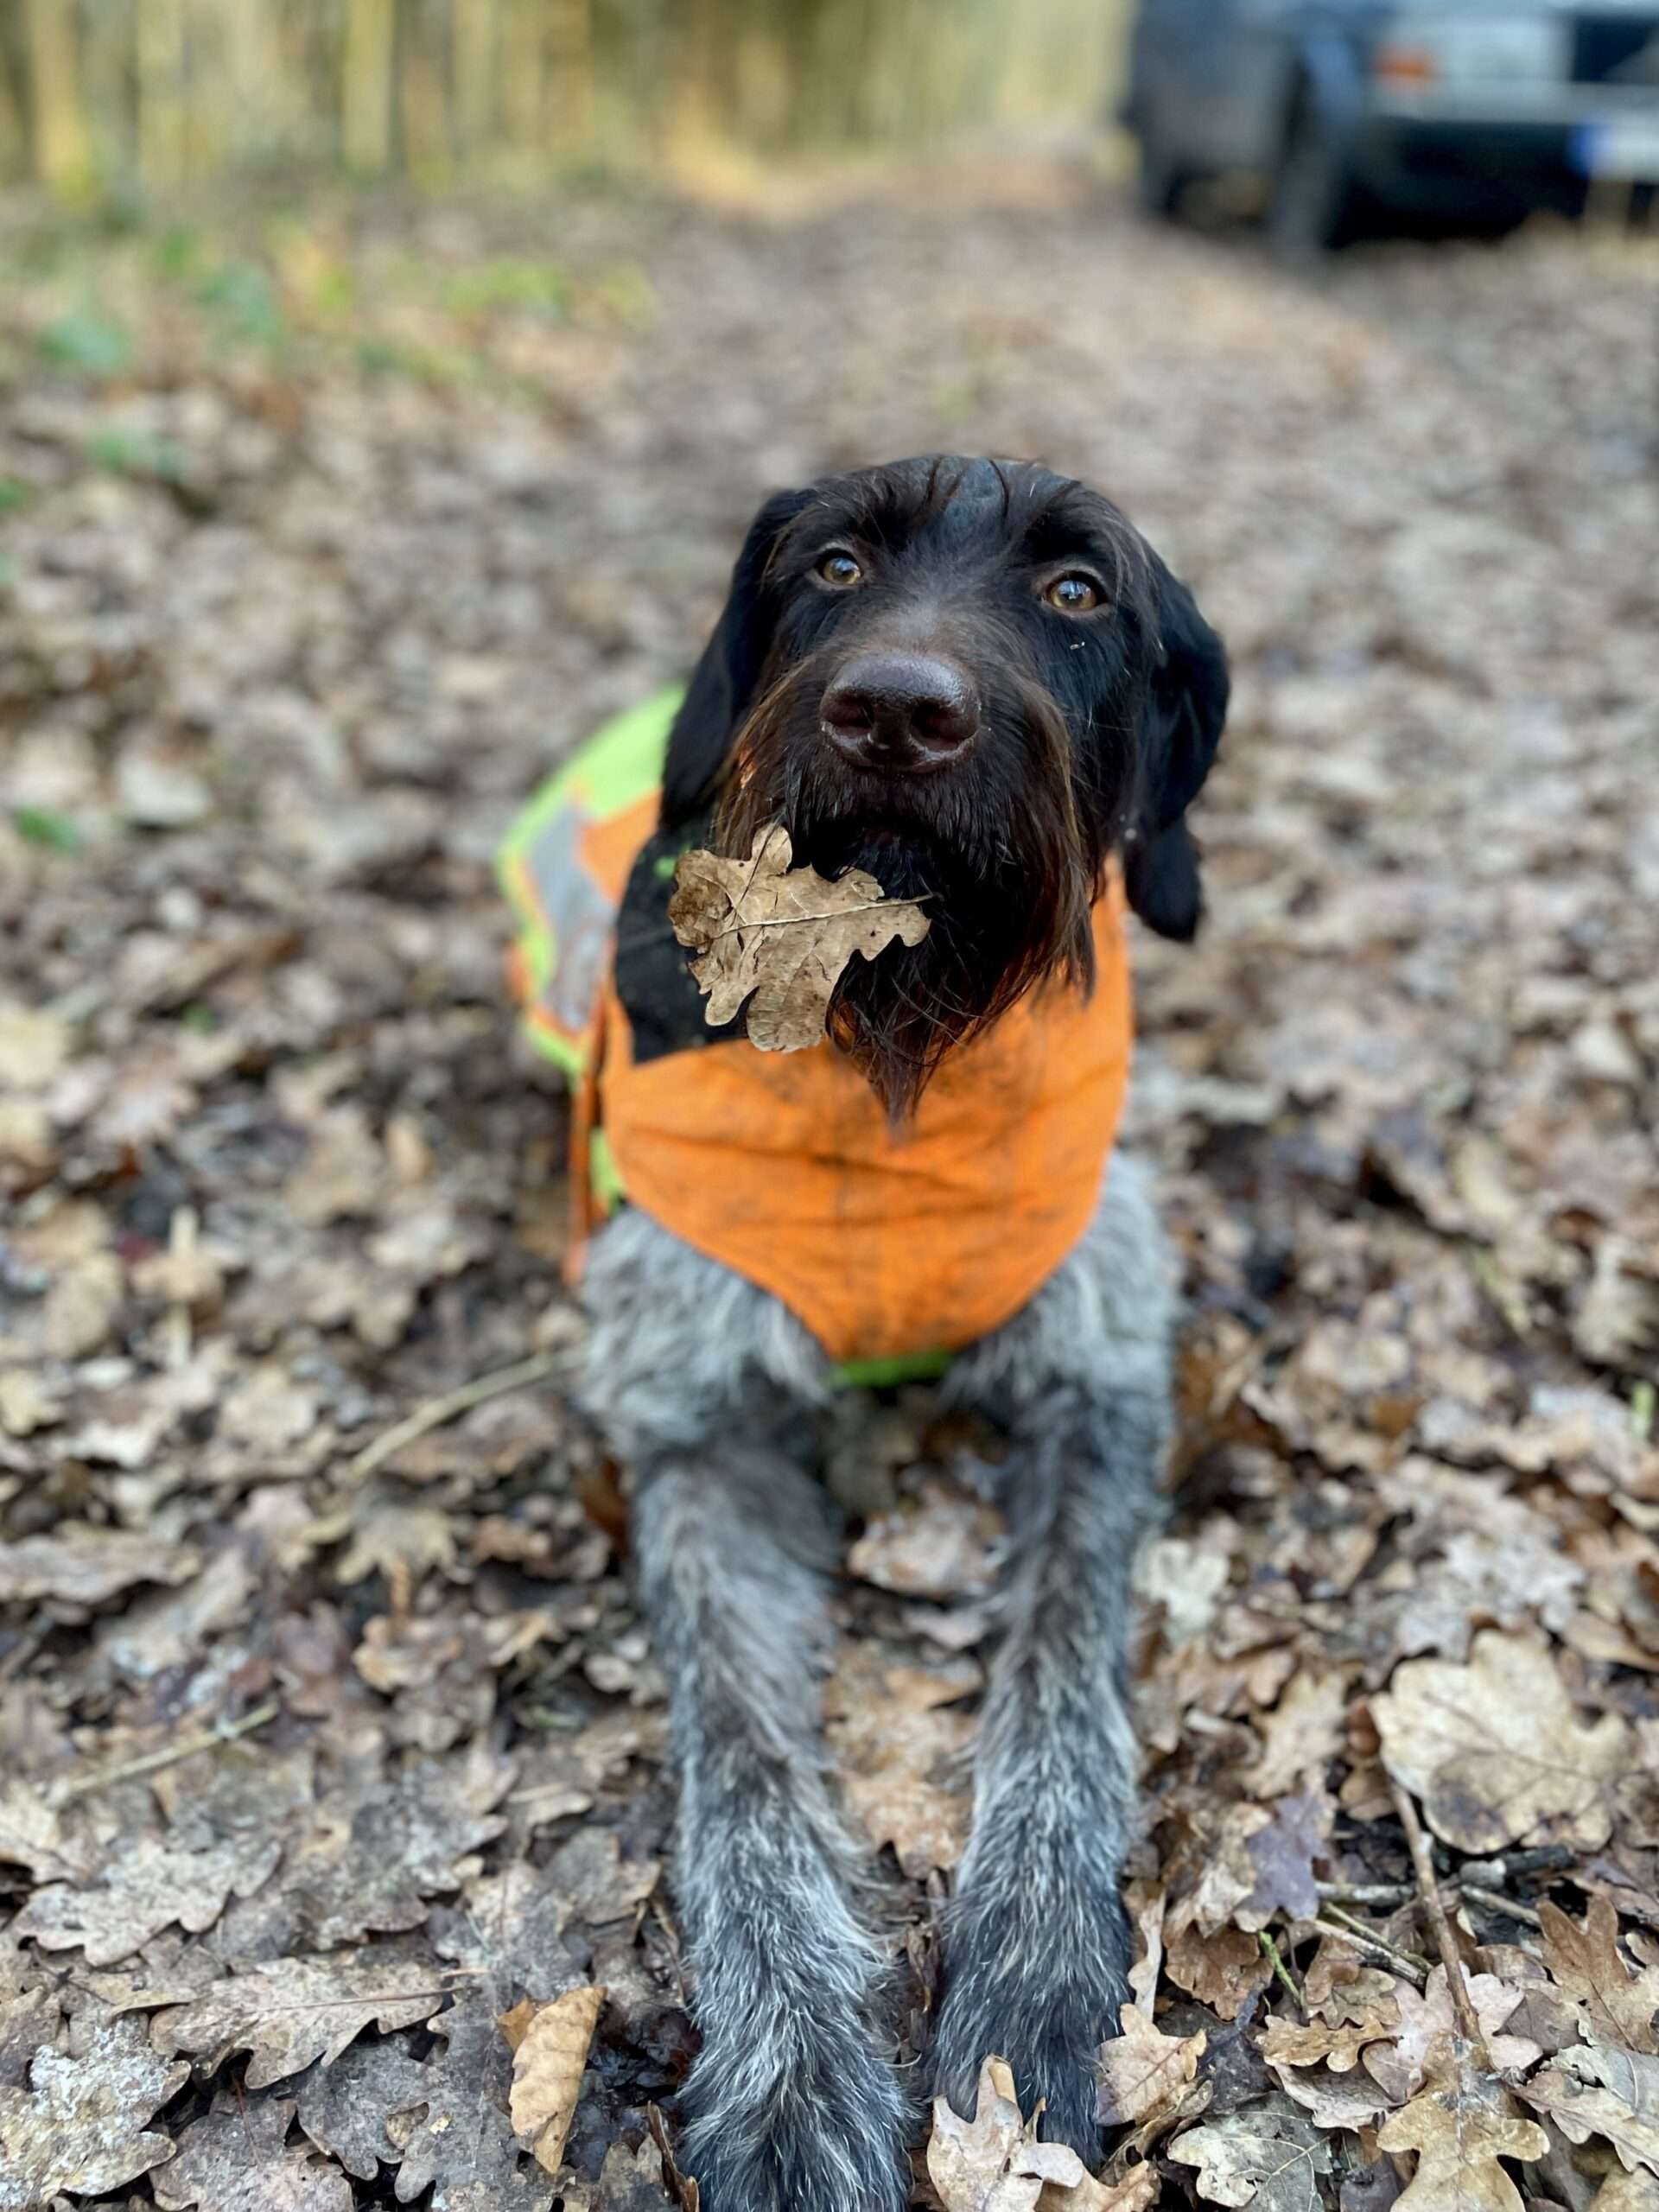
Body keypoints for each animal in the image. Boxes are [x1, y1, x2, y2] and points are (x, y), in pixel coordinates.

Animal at [559, 457, 1238, 2202]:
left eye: (1077, 591)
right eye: (835, 566)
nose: (896, 711)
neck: (891, 1055)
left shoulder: (1097, 1381)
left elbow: (1063, 1689)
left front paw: (1030, 1987)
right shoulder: (699, 1426)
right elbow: (740, 1761)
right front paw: (796, 2073)